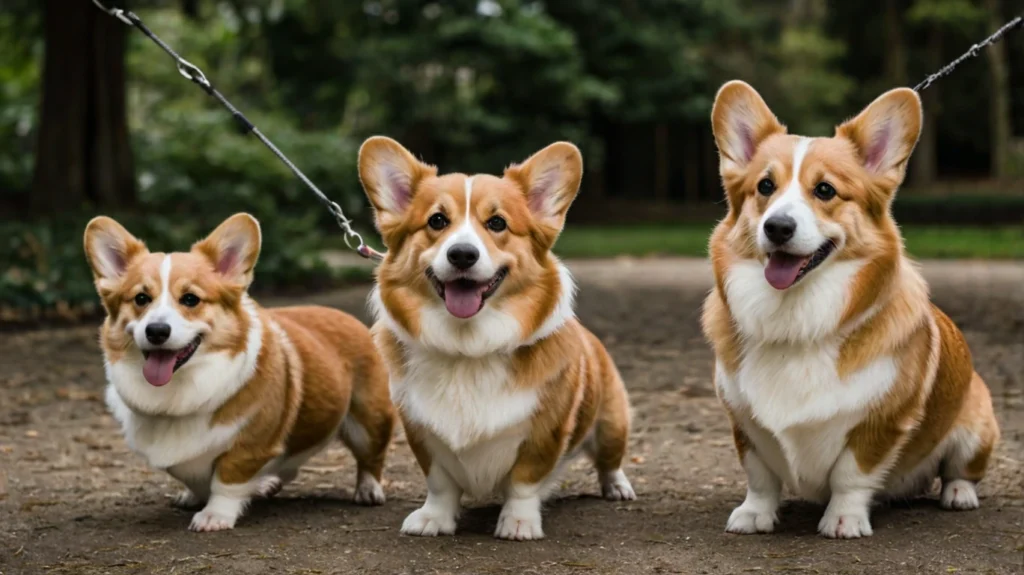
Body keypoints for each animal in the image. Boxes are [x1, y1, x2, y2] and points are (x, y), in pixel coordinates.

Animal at [83, 213, 393, 527]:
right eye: (141, 299)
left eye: (191, 299)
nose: (157, 331)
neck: (181, 388)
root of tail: (348, 318)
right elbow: (193, 476)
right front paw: (195, 495)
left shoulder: (249, 446)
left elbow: (227, 480)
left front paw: (214, 516)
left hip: (369, 422)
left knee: (370, 458)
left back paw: (368, 490)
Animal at [356, 136, 634, 540]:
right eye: (437, 221)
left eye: (497, 222)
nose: (462, 254)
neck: (467, 348)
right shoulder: (421, 433)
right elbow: (440, 483)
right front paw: (433, 519)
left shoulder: (544, 433)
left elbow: (523, 482)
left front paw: (518, 523)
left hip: (613, 422)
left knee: (610, 461)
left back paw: (618, 487)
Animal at [704, 81, 999, 536]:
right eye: (765, 187)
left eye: (825, 190)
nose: (777, 227)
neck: (796, 319)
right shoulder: (744, 424)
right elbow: (760, 474)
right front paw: (754, 514)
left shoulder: (879, 425)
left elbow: (851, 474)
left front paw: (844, 520)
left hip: (976, 428)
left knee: (960, 471)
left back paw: (958, 495)